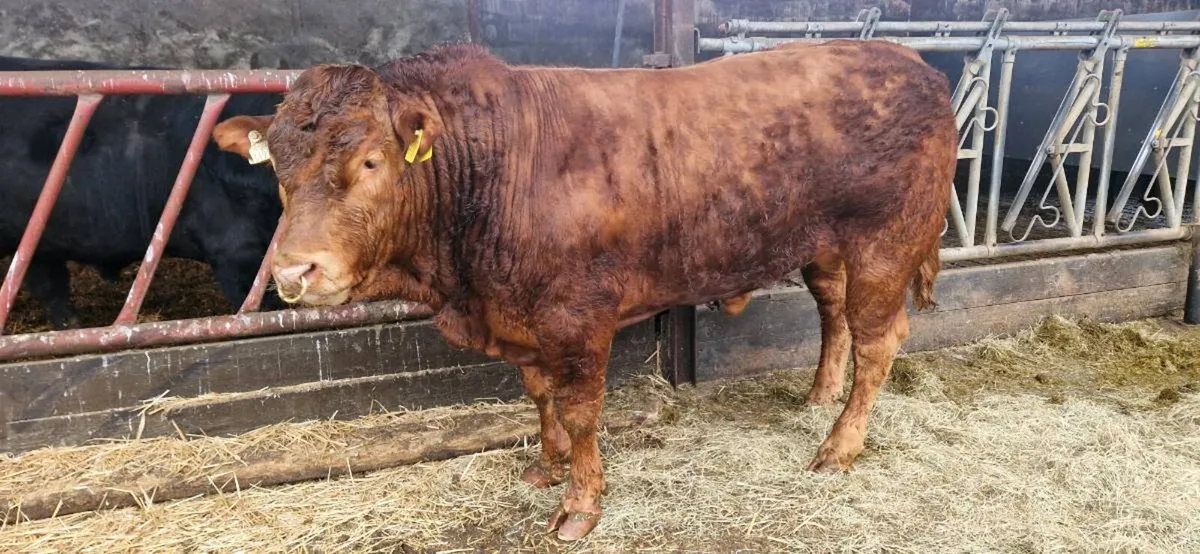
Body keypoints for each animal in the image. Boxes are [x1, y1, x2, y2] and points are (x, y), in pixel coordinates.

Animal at [212, 40, 956, 541]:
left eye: (370, 161)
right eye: (277, 168)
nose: (293, 273)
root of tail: (916, 64)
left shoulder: (576, 317)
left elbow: (578, 410)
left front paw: (580, 504)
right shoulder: (520, 317)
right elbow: (539, 395)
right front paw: (546, 466)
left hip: (885, 246)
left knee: (878, 340)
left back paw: (837, 448)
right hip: (826, 247)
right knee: (834, 315)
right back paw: (819, 396)